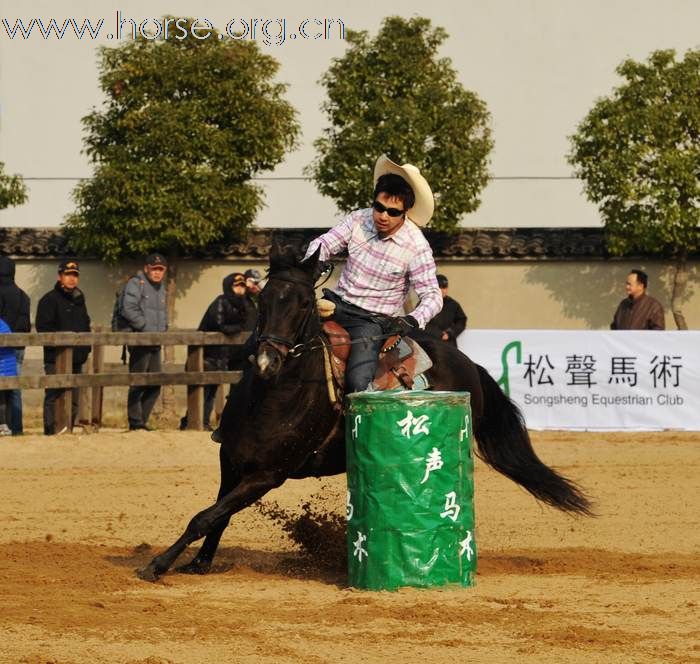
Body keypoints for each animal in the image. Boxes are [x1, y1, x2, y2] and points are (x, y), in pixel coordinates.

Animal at [138, 244, 592, 580]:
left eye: (303, 304)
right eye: (263, 298)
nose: (268, 360)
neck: (273, 396)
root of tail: (468, 364)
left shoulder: (268, 474)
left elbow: (205, 517)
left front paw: (158, 565)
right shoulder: (230, 461)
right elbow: (215, 516)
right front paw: (198, 563)